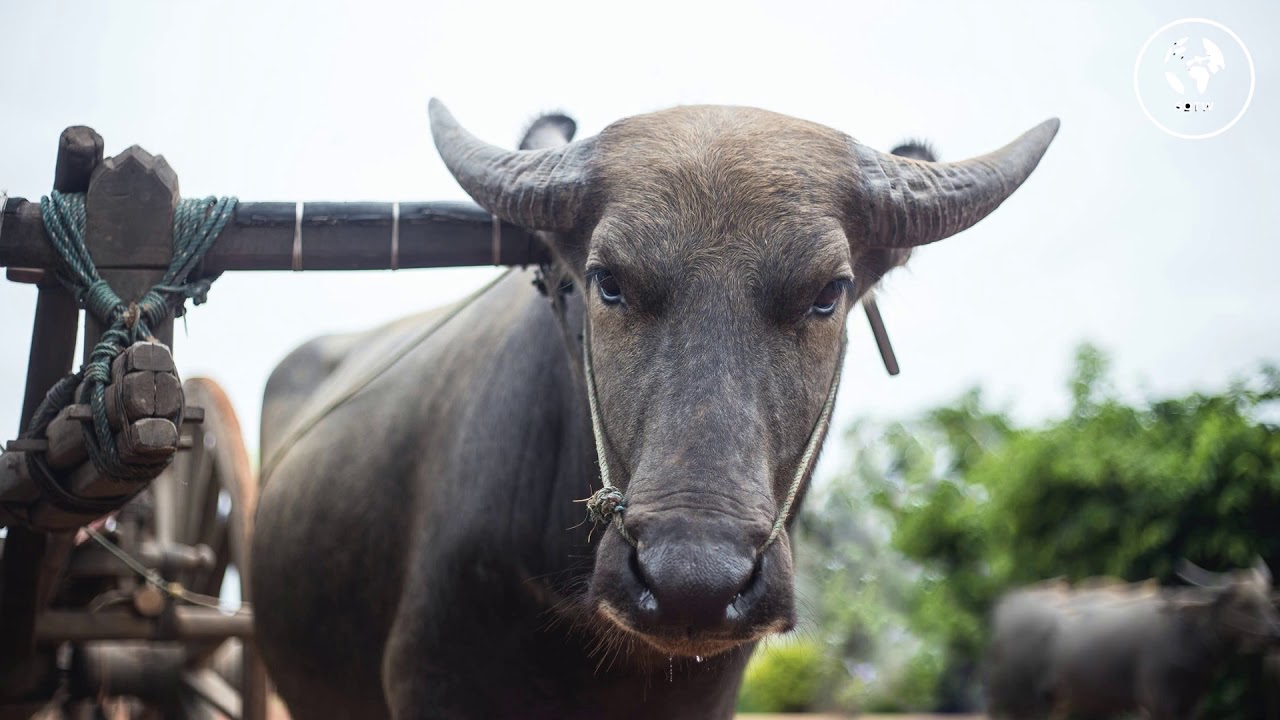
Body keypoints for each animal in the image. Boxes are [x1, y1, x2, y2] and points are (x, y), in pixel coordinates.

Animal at [984, 561, 1280, 720]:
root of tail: (1006, 610)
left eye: (1266, 599)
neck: (1184, 635)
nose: (1273, 633)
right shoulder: (1157, 704)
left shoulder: (1190, 705)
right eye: (1243, 603)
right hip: (1016, 702)